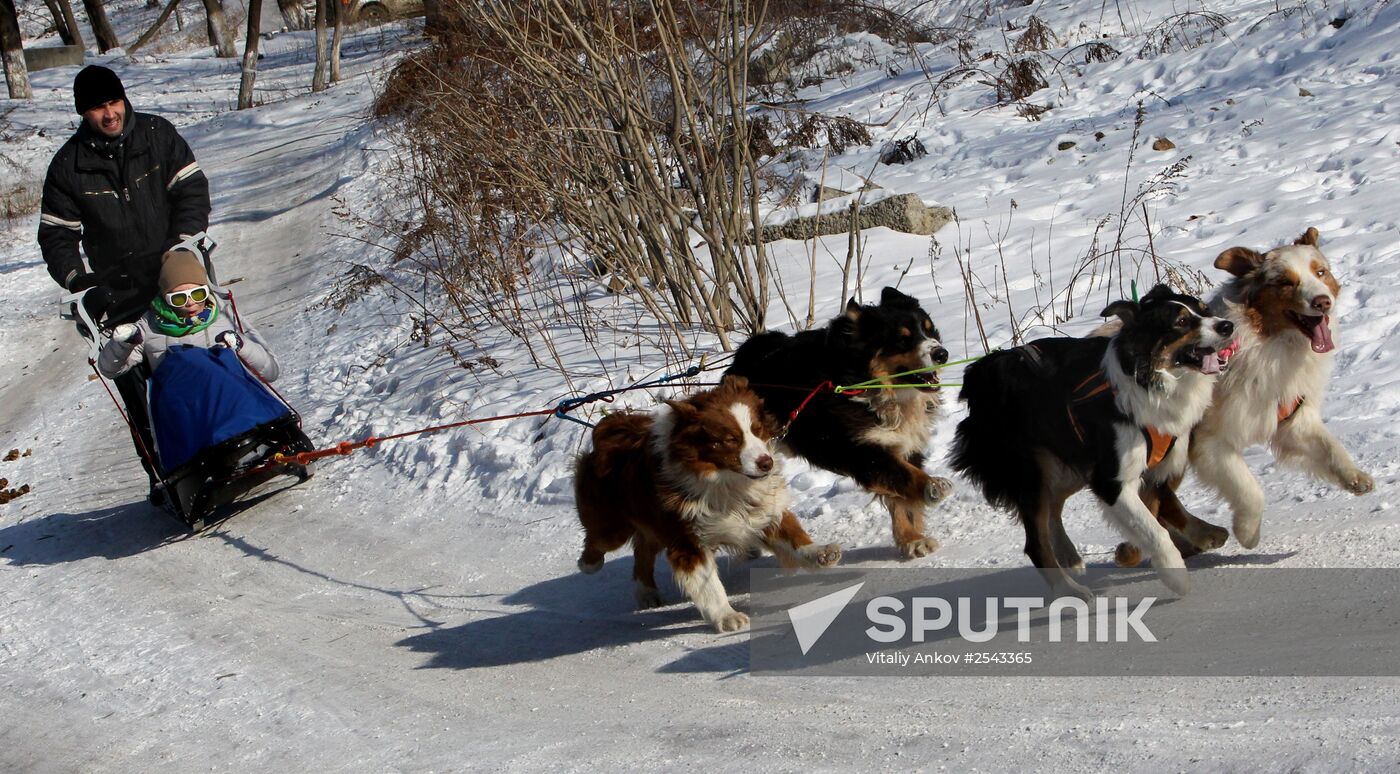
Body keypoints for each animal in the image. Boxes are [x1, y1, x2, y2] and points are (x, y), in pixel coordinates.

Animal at [571, 375, 834, 632]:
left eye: (757, 429)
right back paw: (589, 564)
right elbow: (708, 585)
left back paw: (646, 592)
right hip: (612, 525)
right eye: (730, 439)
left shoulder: (758, 509)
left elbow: (790, 533)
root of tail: (608, 427)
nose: (766, 463)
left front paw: (819, 552)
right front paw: (727, 617)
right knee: (600, 540)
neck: (723, 480)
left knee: (644, 547)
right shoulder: (687, 538)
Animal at [733, 286, 952, 557]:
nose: (942, 353)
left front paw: (912, 539)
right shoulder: (859, 448)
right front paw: (933, 486)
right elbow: (902, 474)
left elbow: (902, 499)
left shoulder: (903, 442)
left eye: (929, 329)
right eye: (902, 339)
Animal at [952, 284, 1237, 596]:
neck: (1148, 381)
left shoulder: (1154, 468)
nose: (1227, 326)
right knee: (1036, 542)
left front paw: (1198, 536)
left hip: (1068, 463)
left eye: (1205, 310)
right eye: (1182, 322)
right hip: (1031, 471)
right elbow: (1154, 529)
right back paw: (1069, 591)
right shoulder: (1111, 481)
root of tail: (979, 374)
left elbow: (1163, 507)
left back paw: (1070, 557)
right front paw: (1175, 574)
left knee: (1053, 508)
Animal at [1120, 226, 1372, 557]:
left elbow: (1328, 446)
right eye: (1285, 282)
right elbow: (1250, 490)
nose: (1322, 302)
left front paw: (1355, 477)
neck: (1268, 342)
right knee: (1158, 497)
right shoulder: (1210, 442)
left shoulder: (1292, 417)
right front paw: (1248, 532)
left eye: (1321, 272)